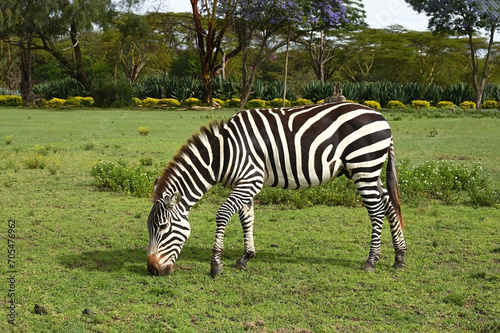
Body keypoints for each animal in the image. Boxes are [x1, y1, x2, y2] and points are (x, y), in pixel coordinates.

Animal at [147, 102, 406, 276]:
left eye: (163, 227)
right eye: (148, 228)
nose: (152, 270)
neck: (224, 154)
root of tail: (381, 117)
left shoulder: (250, 179)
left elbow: (223, 214)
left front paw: (216, 264)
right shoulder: (245, 183)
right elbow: (247, 219)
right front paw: (245, 258)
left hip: (364, 166)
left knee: (376, 211)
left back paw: (371, 261)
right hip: (366, 171)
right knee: (389, 204)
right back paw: (399, 257)